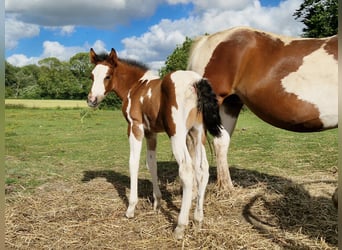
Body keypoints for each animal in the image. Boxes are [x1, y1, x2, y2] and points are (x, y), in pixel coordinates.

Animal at [87, 48, 223, 238]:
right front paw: (157, 202)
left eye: (107, 76)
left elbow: (134, 162)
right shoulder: (151, 133)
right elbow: (151, 164)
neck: (136, 86)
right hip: (197, 133)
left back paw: (180, 227)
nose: (91, 100)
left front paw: (131, 208)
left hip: (177, 134)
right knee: (202, 169)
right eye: (92, 76)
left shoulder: (135, 127)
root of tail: (196, 82)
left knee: (187, 170)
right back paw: (197, 220)